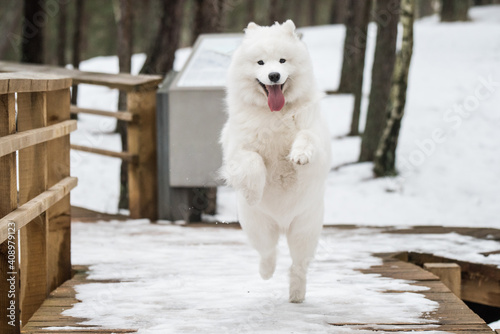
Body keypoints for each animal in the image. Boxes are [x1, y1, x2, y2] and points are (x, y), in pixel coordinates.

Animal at [220, 20, 332, 302]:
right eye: (260, 62)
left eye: (282, 61)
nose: (273, 76)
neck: (274, 115)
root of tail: (282, 225)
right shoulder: (239, 150)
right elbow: (253, 161)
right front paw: (253, 192)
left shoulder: (315, 137)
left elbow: (306, 138)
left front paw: (299, 155)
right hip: (258, 226)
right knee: (268, 252)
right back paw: (266, 273)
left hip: (304, 230)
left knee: (298, 265)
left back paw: (296, 294)